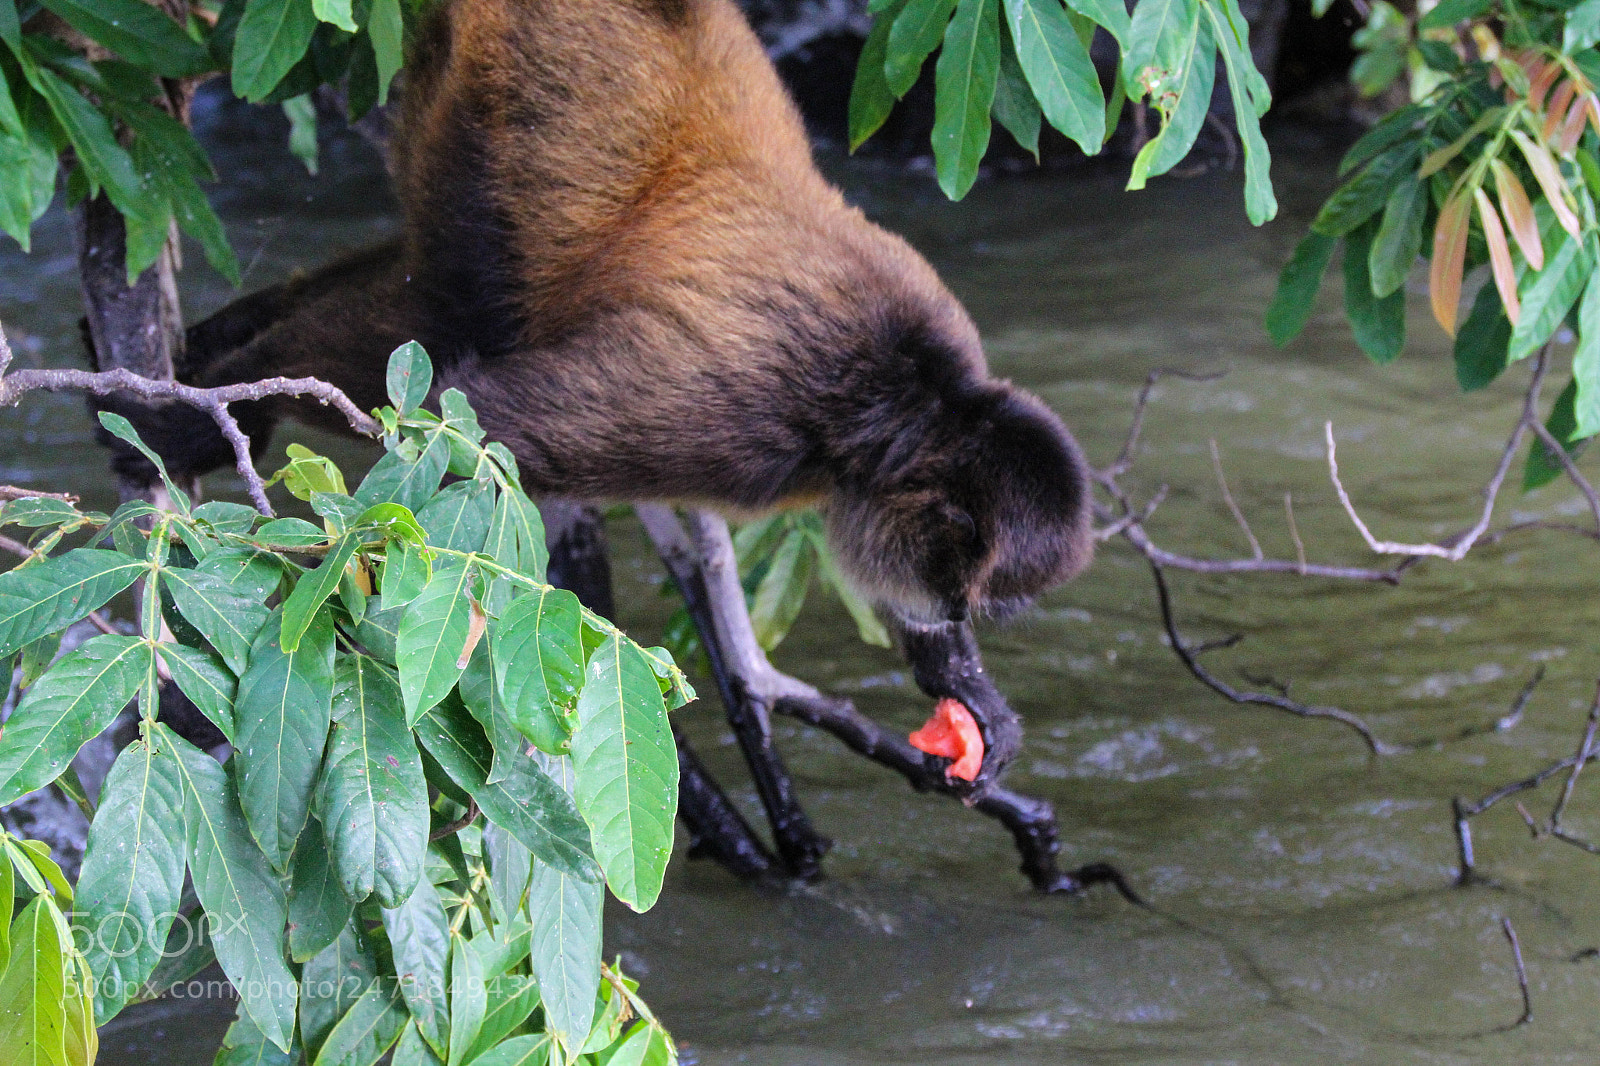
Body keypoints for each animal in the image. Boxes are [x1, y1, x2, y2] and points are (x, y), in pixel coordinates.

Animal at [105, 0, 1095, 624]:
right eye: (978, 594)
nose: (957, 628)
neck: (920, 394)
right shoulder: (757, 422)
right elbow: (471, 416)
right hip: (506, 95)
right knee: (454, 306)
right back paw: (208, 406)